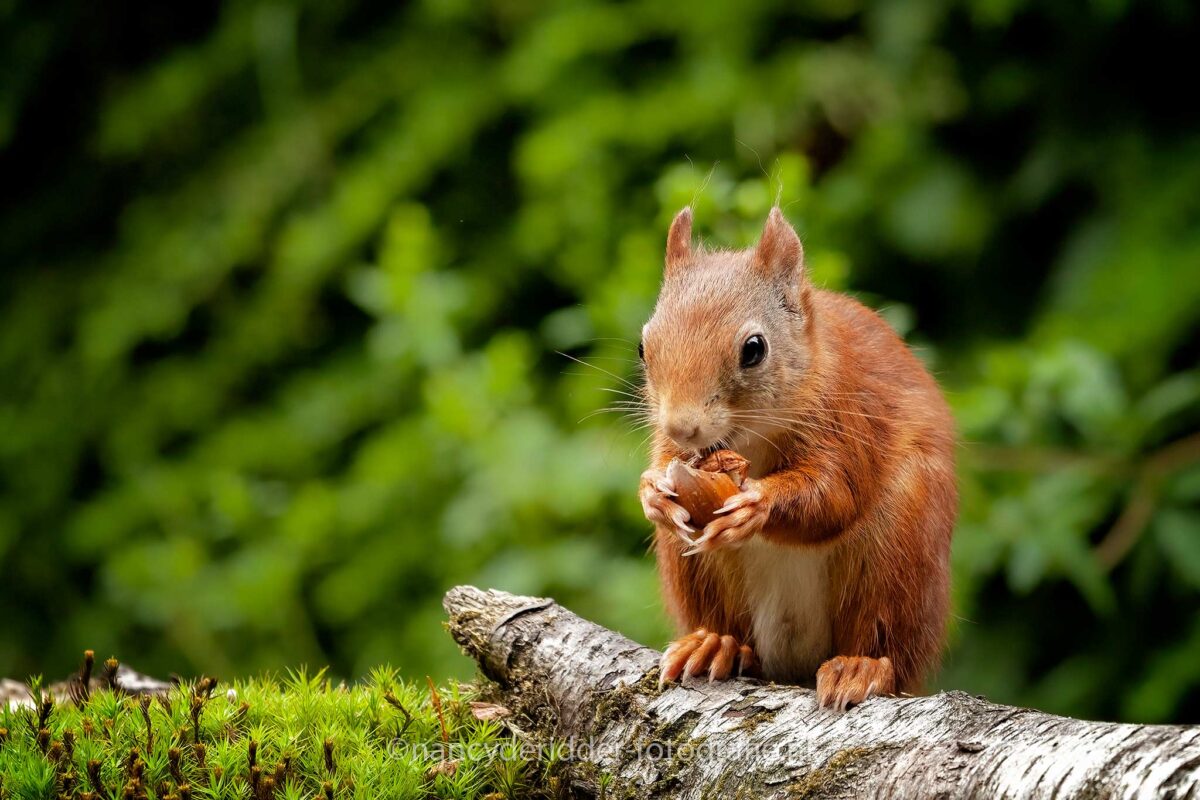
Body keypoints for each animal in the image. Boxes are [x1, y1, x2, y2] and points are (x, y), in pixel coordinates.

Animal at [638, 206, 957, 710]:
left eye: (754, 349)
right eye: (643, 347)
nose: (681, 427)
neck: (749, 438)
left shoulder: (849, 415)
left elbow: (835, 494)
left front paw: (757, 504)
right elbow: (665, 465)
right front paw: (652, 492)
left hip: (902, 546)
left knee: (887, 643)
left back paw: (861, 666)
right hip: (696, 569)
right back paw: (716, 644)